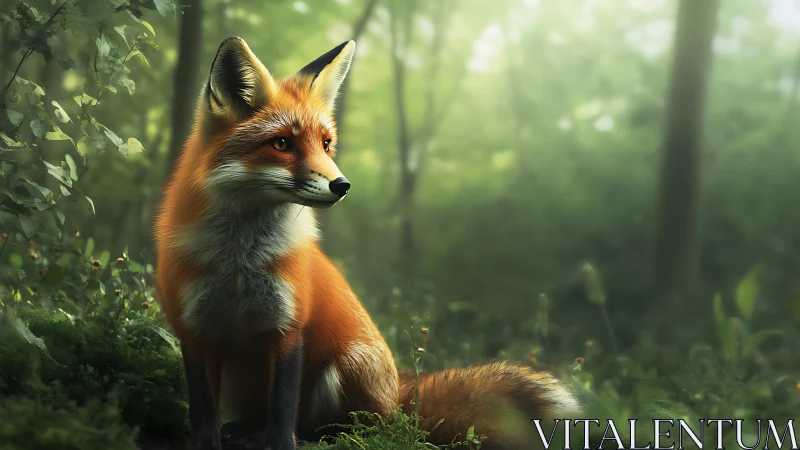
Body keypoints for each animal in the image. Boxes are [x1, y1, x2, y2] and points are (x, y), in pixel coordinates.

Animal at [154, 37, 580, 450]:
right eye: (281, 144)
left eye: (326, 144)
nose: (342, 185)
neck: (239, 262)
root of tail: (399, 395)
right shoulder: (193, 327)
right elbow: (203, 409)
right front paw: (207, 442)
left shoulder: (289, 325)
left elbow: (283, 409)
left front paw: (281, 444)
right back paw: (247, 431)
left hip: (346, 366)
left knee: (353, 426)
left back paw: (313, 436)